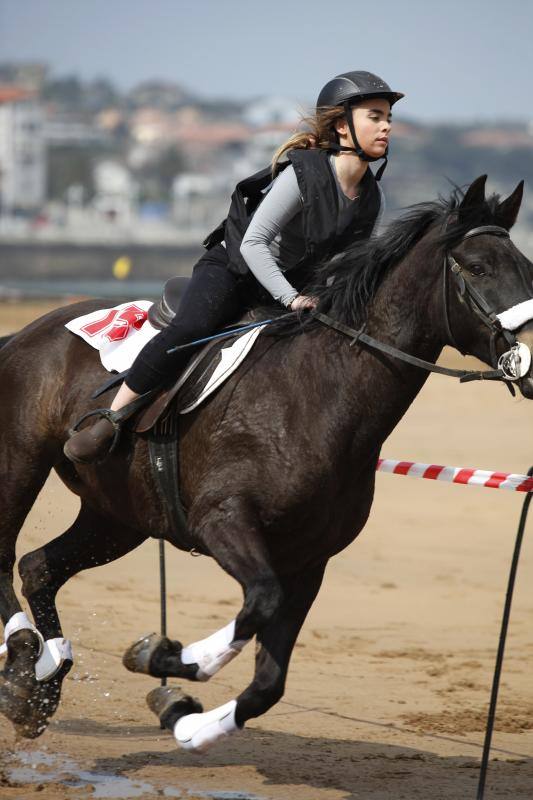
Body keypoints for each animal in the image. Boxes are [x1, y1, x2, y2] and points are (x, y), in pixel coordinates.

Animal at [0, 175, 528, 752]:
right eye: (476, 267)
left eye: (525, 266)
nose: (528, 359)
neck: (317, 397)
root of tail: (22, 334)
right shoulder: (223, 523)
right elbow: (259, 603)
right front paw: (166, 659)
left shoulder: (308, 561)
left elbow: (267, 683)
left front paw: (183, 715)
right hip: (22, 464)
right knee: (7, 556)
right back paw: (23, 655)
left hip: (119, 517)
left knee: (39, 568)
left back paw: (38, 684)